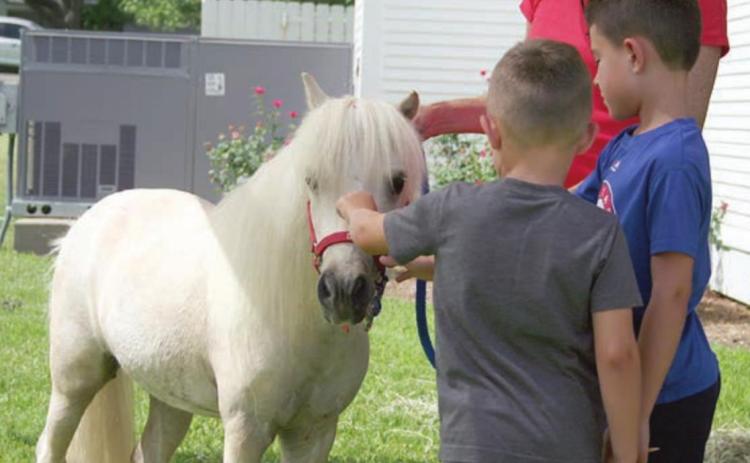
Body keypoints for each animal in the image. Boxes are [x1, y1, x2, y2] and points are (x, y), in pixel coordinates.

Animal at [35, 73, 425, 463]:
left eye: (398, 181)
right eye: (311, 180)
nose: (343, 290)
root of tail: (86, 221)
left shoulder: (314, 432)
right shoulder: (246, 429)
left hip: (170, 396)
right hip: (75, 379)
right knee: (50, 444)